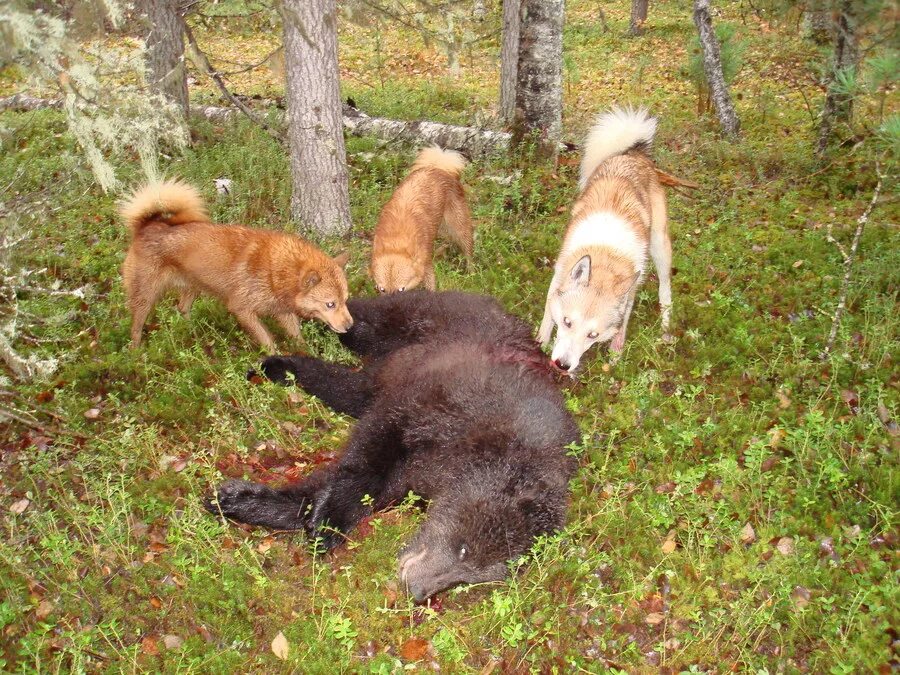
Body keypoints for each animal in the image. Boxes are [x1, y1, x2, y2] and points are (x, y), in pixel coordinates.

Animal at [121, 181, 354, 348]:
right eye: (330, 304)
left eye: (345, 300)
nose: (350, 326)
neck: (275, 270)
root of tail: (147, 225)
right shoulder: (242, 310)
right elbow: (268, 341)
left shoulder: (282, 312)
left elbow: (297, 336)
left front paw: (307, 355)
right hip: (145, 297)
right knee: (136, 327)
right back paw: (136, 352)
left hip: (193, 286)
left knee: (182, 308)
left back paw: (194, 334)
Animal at [206, 290, 576, 604]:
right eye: (463, 549)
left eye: (469, 578)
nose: (416, 589)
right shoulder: (446, 401)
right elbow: (372, 451)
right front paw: (328, 517)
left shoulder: (424, 471)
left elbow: (349, 485)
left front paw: (241, 500)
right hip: (428, 320)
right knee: (364, 323)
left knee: (349, 387)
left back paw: (282, 368)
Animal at [370, 145, 474, 294]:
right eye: (382, 289)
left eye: (401, 289)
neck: (396, 239)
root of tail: (437, 167)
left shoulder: (426, 264)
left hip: (458, 227)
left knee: (468, 250)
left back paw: (471, 271)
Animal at [536, 107, 692, 372]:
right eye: (567, 322)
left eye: (593, 335)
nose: (562, 365)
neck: (606, 252)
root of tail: (632, 153)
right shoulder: (559, 275)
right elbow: (548, 316)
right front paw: (539, 342)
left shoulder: (629, 292)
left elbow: (622, 326)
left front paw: (615, 355)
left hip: (660, 247)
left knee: (665, 290)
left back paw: (665, 327)